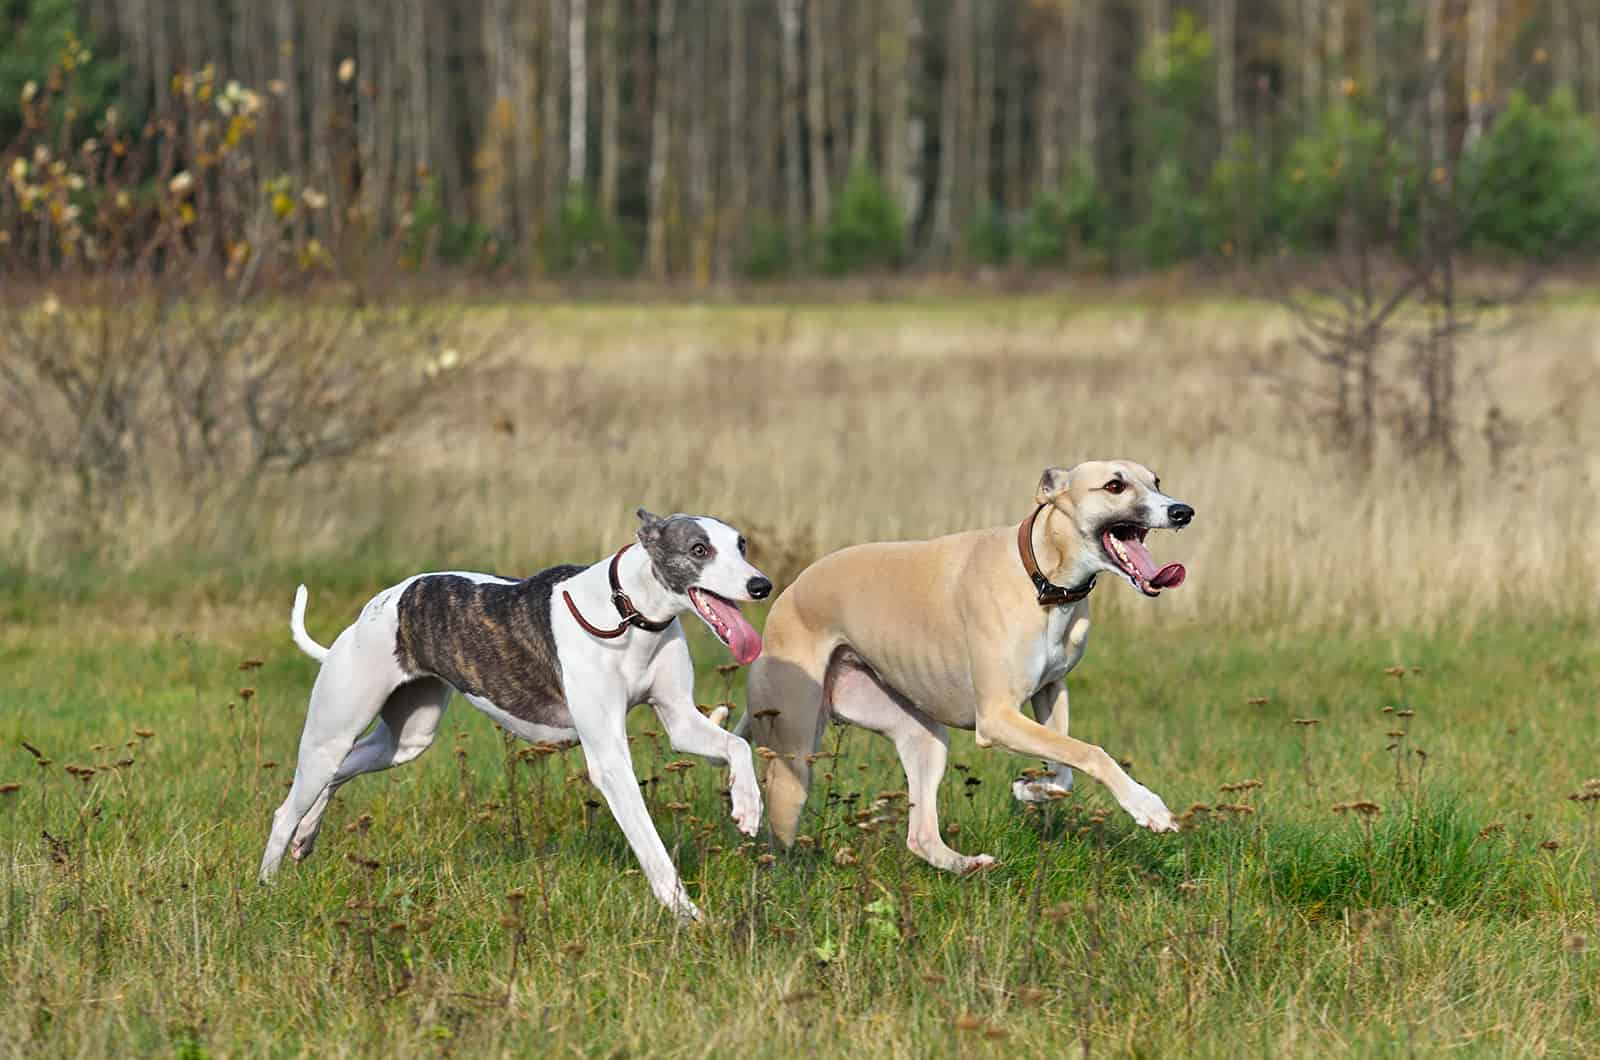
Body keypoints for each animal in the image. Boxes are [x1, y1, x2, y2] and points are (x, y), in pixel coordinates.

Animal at [262, 509, 774, 922]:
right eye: (699, 549)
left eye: (742, 545)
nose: (761, 585)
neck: (628, 611)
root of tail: (375, 608)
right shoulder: (609, 761)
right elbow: (650, 845)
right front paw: (688, 915)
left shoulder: (681, 720)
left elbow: (737, 744)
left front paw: (747, 805)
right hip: (332, 731)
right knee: (290, 804)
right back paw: (267, 883)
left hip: (408, 737)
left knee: (340, 772)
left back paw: (306, 836)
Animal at [742, 464, 1196, 871]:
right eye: (1115, 485)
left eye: (1157, 481)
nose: (1182, 511)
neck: (1041, 577)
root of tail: (784, 600)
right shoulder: (997, 718)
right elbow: (1091, 752)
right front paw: (1147, 806)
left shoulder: (1051, 690)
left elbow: (1064, 770)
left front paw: (1032, 789)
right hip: (795, 758)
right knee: (778, 840)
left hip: (919, 734)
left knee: (921, 834)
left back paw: (966, 864)